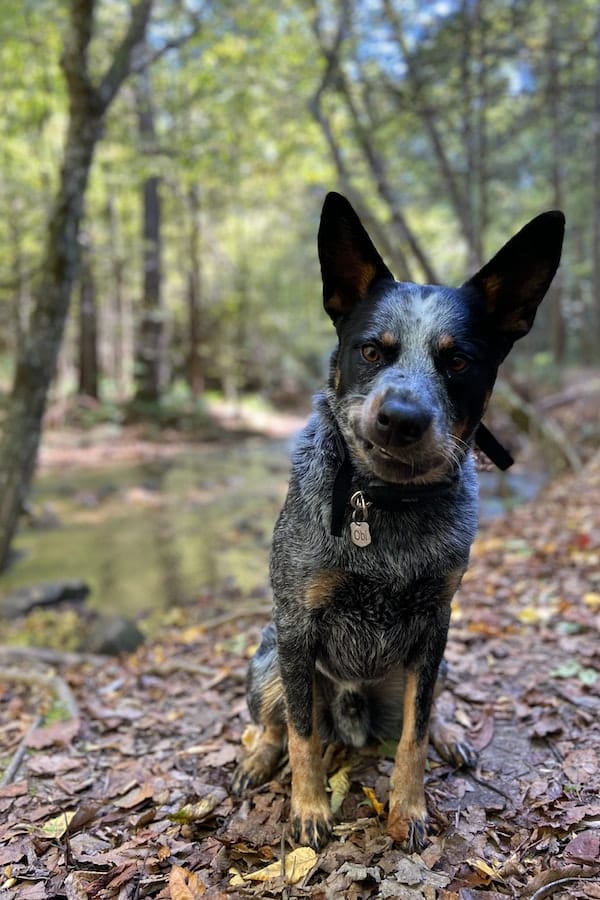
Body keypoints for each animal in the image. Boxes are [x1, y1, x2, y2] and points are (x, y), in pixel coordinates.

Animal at [232, 193, 564, 856]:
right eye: (370, 350)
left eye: (457, 360)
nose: (403, 417)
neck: (385, 504)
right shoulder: (298, 626)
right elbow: (303, 736)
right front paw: (309, 809)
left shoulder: (435, 623)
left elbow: (415, 730)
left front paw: (409, 809)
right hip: (267, 658)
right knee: (278, 722)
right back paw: (259, 758)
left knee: (429, 711)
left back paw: (451, 734)